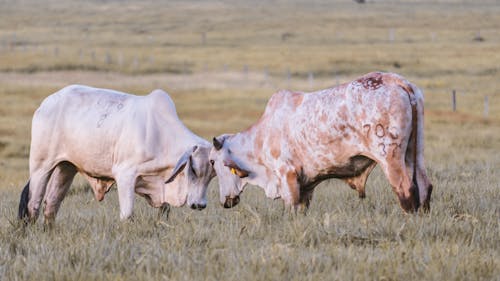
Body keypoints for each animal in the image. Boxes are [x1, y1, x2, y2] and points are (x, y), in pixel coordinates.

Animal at [18, 85, 215, 223]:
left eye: (212, 175)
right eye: (194, 170)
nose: (199, 205)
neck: (161, 135)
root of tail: (45, 104)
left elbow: (164, 211)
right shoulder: (125, 174)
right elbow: (127, 215)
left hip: (66, 167)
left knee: (51, 205)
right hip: (41, 165)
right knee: (32, 204)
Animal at [211, 71, 434, 211]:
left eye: (212, 162)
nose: (224, 202)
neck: (262, 136)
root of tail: (396, 81)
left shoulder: (287, 175)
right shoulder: (306, 186)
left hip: (389, 156)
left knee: (406, 190)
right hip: (414, 153)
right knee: (425, 186)